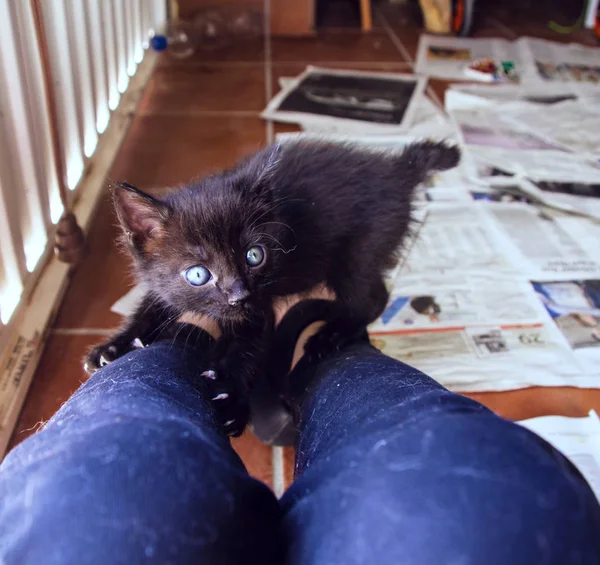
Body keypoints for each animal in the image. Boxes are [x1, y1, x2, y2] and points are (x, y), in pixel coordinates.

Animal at [84, 139, 460, 434]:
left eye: (254, 255)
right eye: (198, 275)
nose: (239, 294)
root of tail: (397, 170)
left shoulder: (260, 306)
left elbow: (247, 348)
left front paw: (229, 395)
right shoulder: (163, 283)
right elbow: (151, 306)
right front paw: (115, 346)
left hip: (358, 253)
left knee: (373, 298)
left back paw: (332, 333)